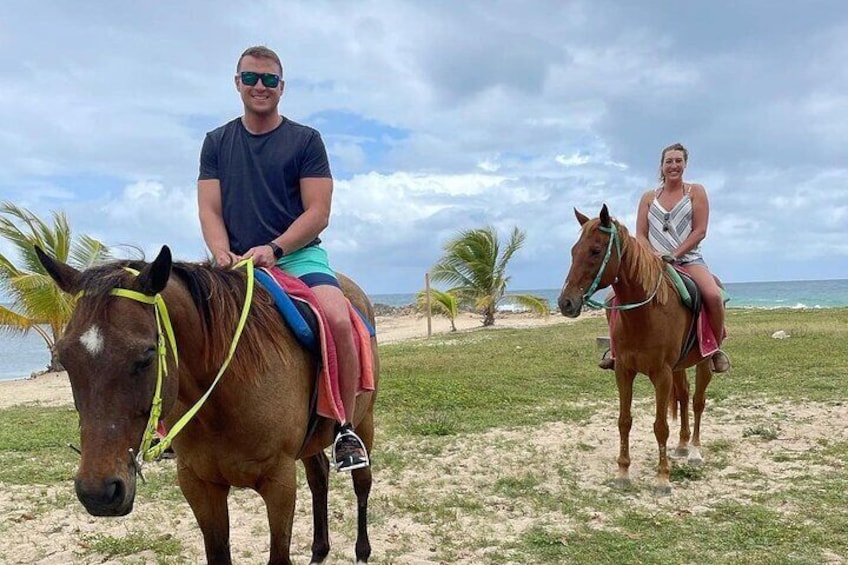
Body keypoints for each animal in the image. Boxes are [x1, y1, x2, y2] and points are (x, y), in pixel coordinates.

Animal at [34, 246, 378, 564]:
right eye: (65, 358)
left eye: (146, 356)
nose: (98, 492)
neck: (221, 403)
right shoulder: (199, 486)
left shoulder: (279, 484)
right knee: (319, 477)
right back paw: (319, 551)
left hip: (364, 423)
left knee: (361, 484)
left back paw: (362, 550)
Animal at [560, 206, 712, 494]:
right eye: (573, 251)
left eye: (595, 250)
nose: (566, 302)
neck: (644, 315)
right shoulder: (623, 371)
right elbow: (624, 421)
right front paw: (622, 472)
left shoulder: (661, 375)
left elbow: (660, 426)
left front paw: (662, 478)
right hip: (679, 367)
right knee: (684, 396)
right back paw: (682, 445)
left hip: (703, 362)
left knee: (698, 402)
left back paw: (696, 451)